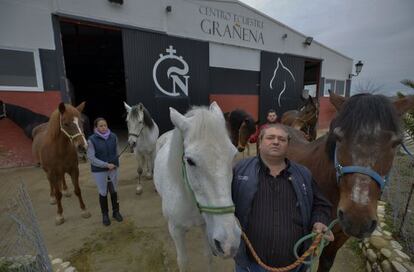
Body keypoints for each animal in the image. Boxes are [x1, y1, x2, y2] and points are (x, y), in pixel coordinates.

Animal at [154, 102, 239, 272]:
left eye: (233, 155)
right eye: (190, 161)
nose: (229, 243)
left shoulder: (206, 226)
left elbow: (208, 256)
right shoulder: (176, 231)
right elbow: (183, 261)